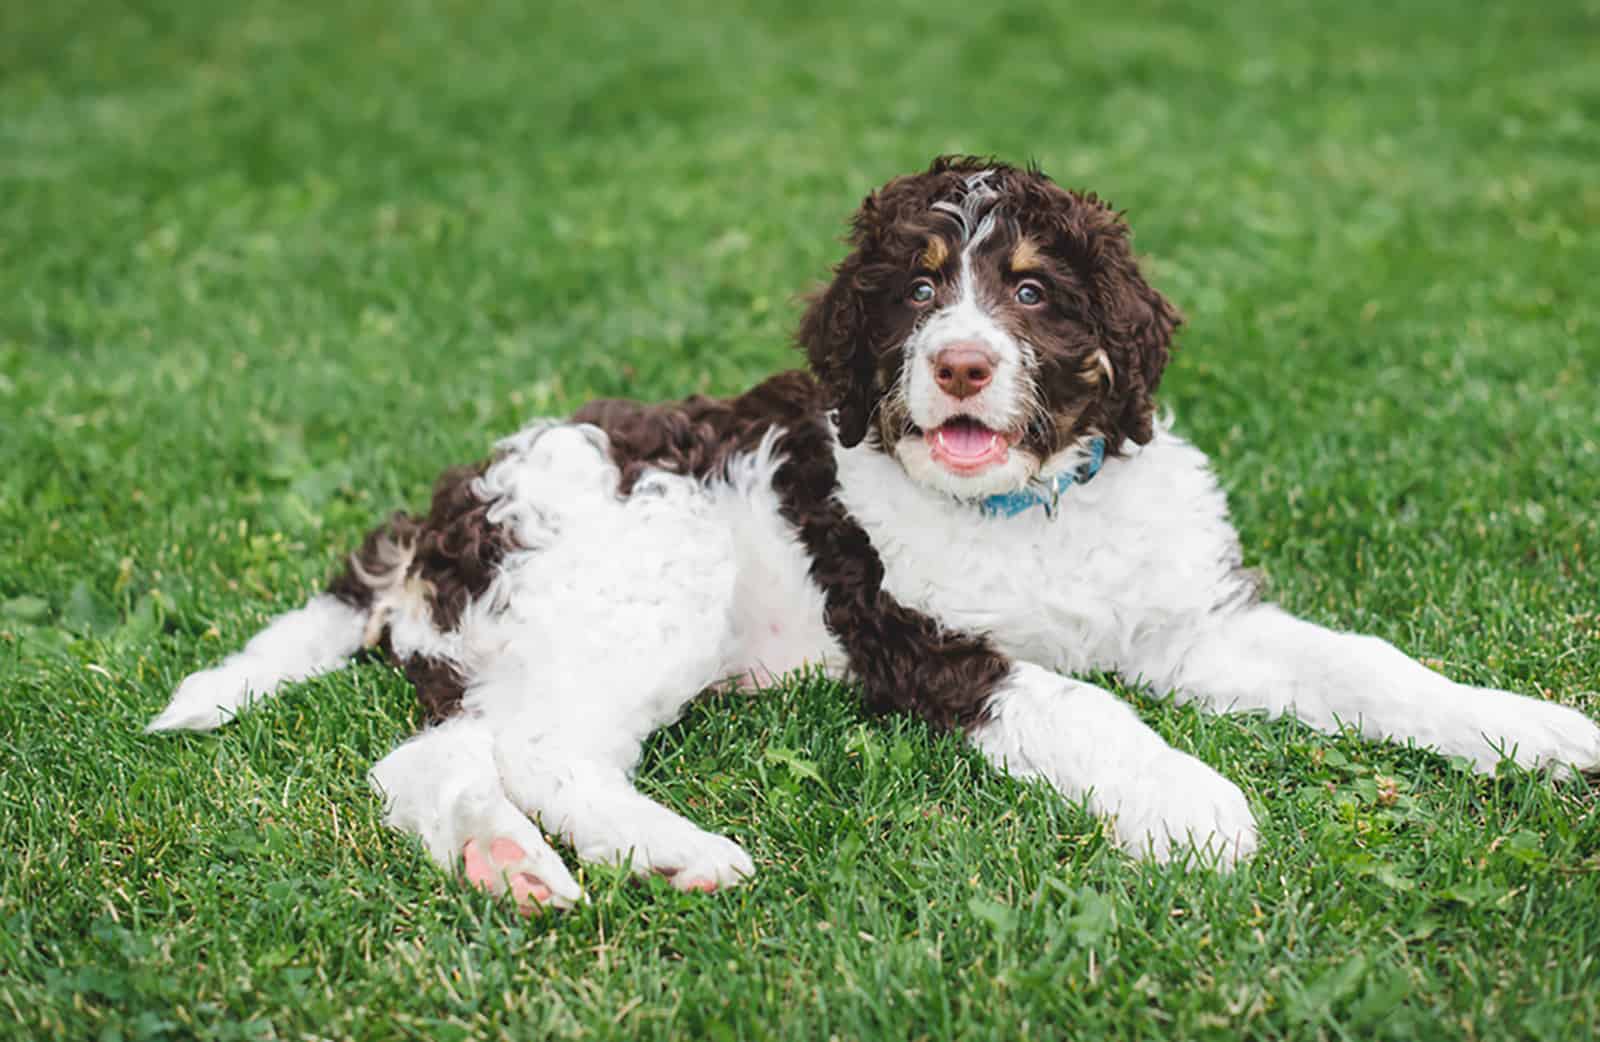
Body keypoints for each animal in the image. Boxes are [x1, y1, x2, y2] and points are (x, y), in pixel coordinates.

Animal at [150, 156, 1600, 915]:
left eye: (1032, 290)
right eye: (913, 286)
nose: (959, 365)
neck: (1031, 505)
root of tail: (441, 512)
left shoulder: (1198, 621)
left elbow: (1373, 666)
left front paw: (1534, 729)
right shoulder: (926, 642)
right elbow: (1088, 707)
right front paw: (1196, 807)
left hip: (524, 636)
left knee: (432, 757)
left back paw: (508, 865)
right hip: (642, 573)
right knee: (545, 750)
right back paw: (673, 850)